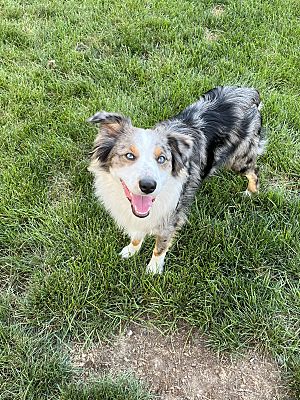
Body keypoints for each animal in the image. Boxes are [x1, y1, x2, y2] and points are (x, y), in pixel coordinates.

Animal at [88, 84, 264, 272]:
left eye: (161, 159)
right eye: (129, 155)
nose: (148, 186)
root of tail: (248, 92)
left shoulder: (171, 217)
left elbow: (160, 246)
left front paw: (153, 269)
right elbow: (137, 235)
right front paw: (131, 250)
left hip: (240, 160)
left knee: (254, 172)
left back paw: (250, 193)